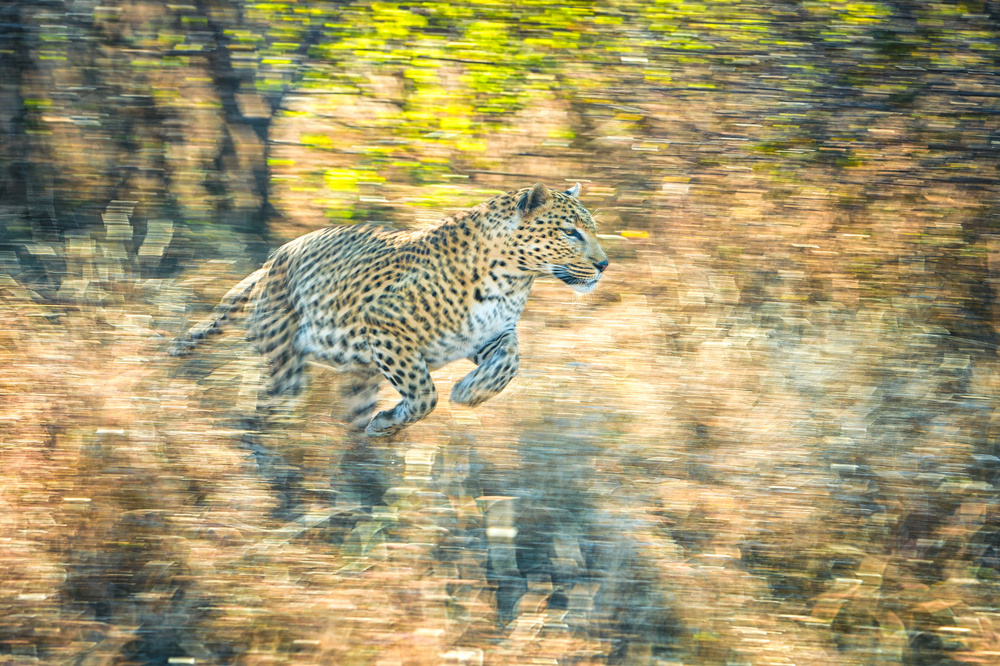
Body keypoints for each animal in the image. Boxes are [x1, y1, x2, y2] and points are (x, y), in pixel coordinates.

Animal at [170, 180, 608, 436]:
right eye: (571, 232)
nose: (604, 265)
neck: (513, 280)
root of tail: (272, 259)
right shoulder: (386, 327)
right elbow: (424, 393)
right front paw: (395, 419)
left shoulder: (489, 335)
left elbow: (509, 364)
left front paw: (469, 393)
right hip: (285, 355)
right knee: (270, 399)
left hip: (355, 373)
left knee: (347, 412)